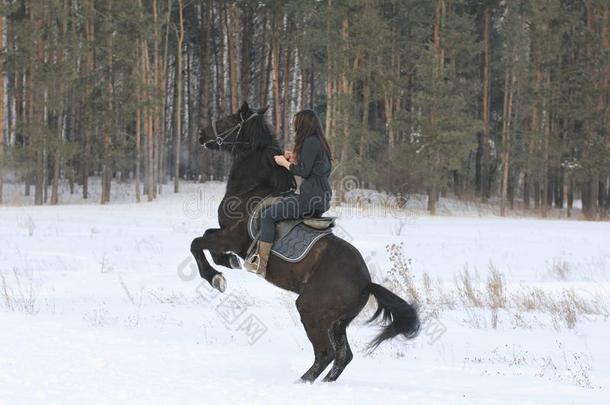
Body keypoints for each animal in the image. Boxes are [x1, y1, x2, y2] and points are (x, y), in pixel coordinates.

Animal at [191, 102, 418, 382]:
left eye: (230, 119)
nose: (201, 134)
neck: (251, 188)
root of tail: (366, 282)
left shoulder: (232, 237)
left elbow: (196, 243)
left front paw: (216, 278)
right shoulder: (226, 235)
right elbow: (207, 240)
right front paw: (227, 263)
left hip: (311, 310)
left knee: (326, 353)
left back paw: (301, 382)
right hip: (337, 322)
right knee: (343, 356)